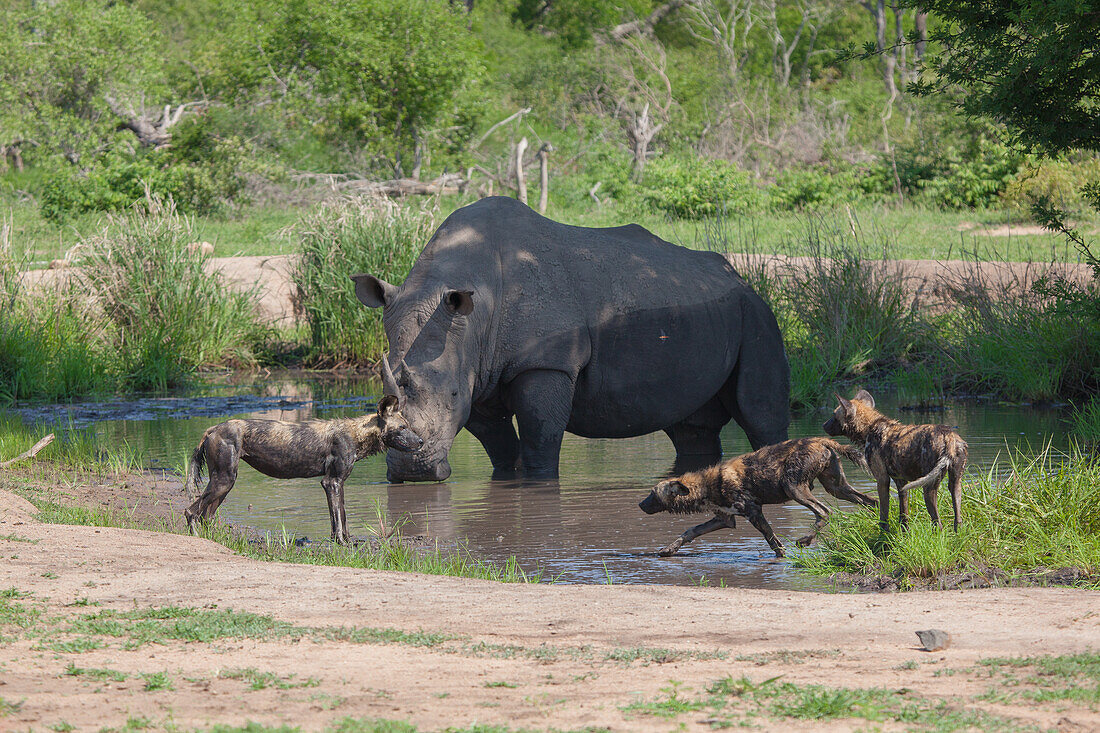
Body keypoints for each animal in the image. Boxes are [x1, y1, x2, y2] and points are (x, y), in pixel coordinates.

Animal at [182, 354, 422, 541]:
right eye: (402, 428)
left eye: (409, 426)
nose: (420, 442)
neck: (357, 433)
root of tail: (213, 428)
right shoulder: (331, 482)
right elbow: (337, 519)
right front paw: (341, 543)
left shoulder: (339, 483)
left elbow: (343, 516)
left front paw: (348, 541)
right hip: (224, 480)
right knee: (191, 511)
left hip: (224, 484)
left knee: (206, 515)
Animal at [638, 435, 875, 556]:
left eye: (652, 494)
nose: (640, 504)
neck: (707, 485)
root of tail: (821, 440)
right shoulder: (725, 519)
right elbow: (690, 532)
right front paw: (669, 549)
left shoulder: (753, 512)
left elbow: (773, 541)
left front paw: (782, 557)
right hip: (837, 488)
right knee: (870, 501)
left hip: (794, 488)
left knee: (824, 512)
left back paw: (804, 540)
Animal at [822, 387, 968, 530]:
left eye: (834, 415)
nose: (823, 425)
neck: (869, 428)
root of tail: (948, 436)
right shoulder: (901, 483)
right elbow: (903, 514)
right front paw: (904, 533)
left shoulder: (882, 479)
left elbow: (883, 513)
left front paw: (883, 534)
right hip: (955, 483)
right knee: (958, 517)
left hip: (928, 487)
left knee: (937, 522)